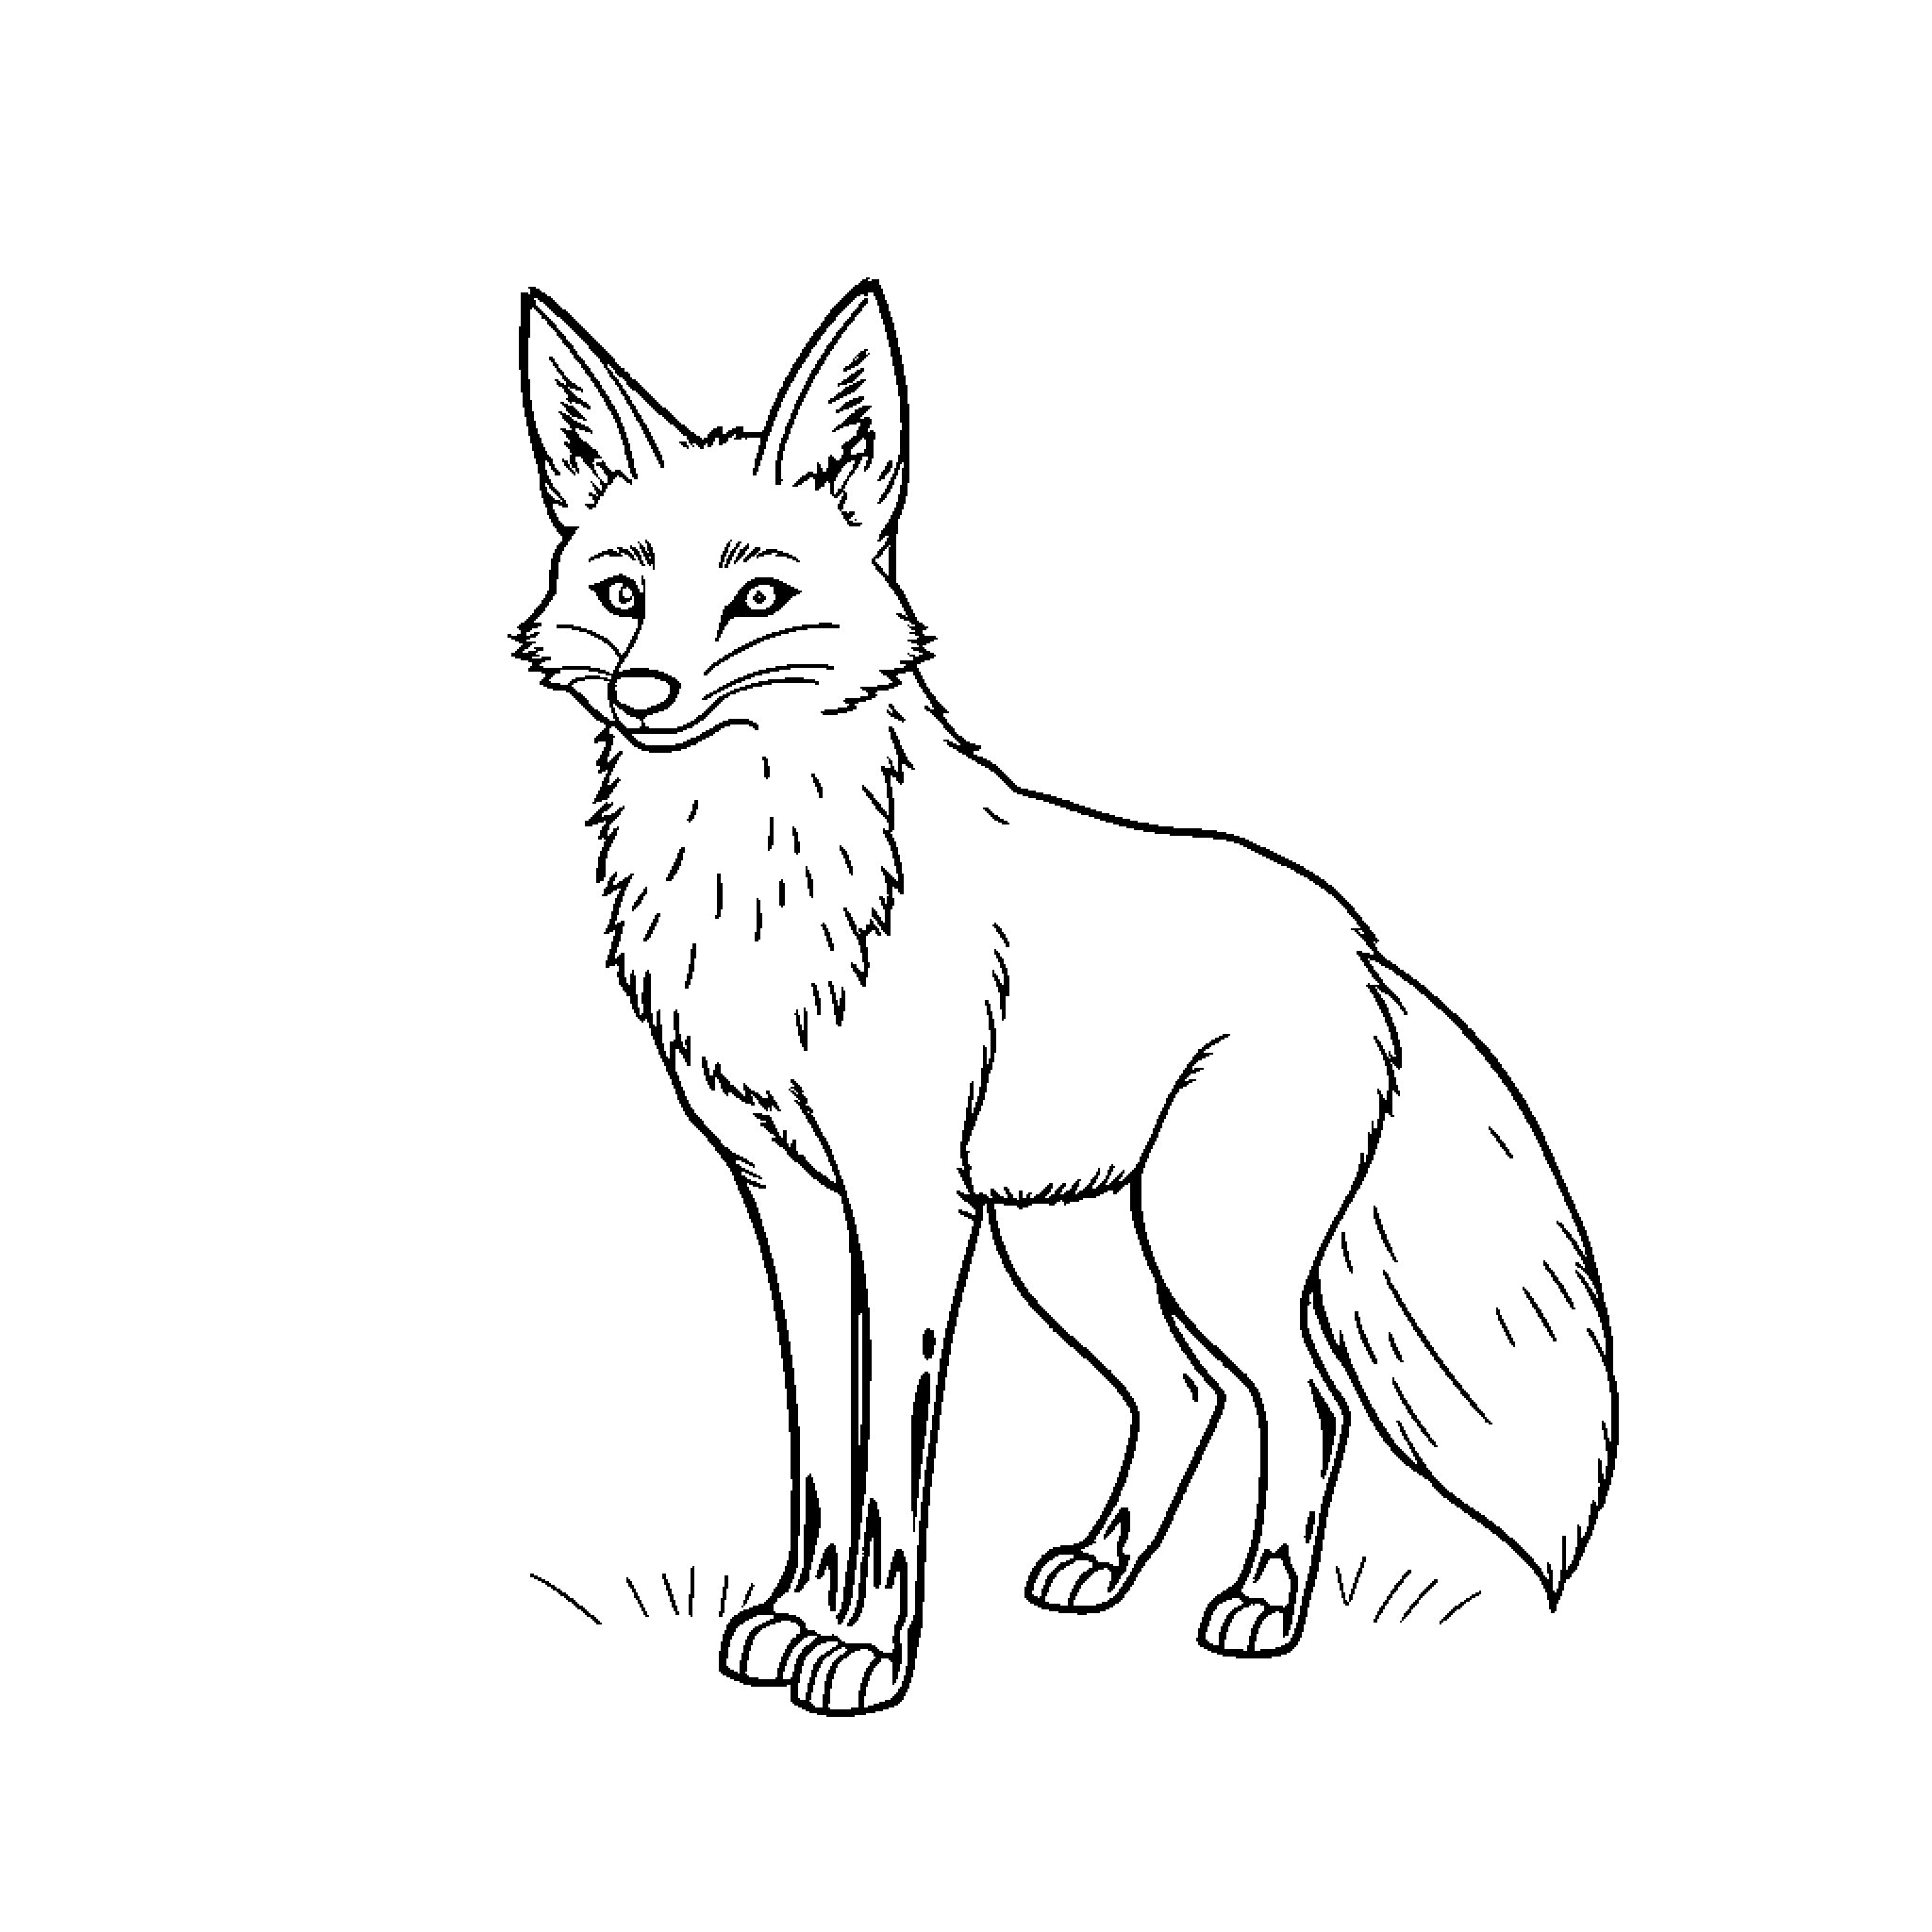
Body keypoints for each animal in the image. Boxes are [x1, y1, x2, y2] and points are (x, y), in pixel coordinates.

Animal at [512, 281, 1617, 1716]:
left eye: (758, 598)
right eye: (622, 592)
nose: (644, 694)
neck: (758, 885)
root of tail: (1359, 945)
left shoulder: (908, 1208)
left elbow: (889, 1468)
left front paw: (867, 1649)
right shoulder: (787, 1202)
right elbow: (817, 1441)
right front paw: (789, 1616)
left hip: (1209, 1249)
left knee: (1305, 1404)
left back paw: (1261, 1602)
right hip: (1074, 1246)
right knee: (1185, 1395)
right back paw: (1104, 1564)